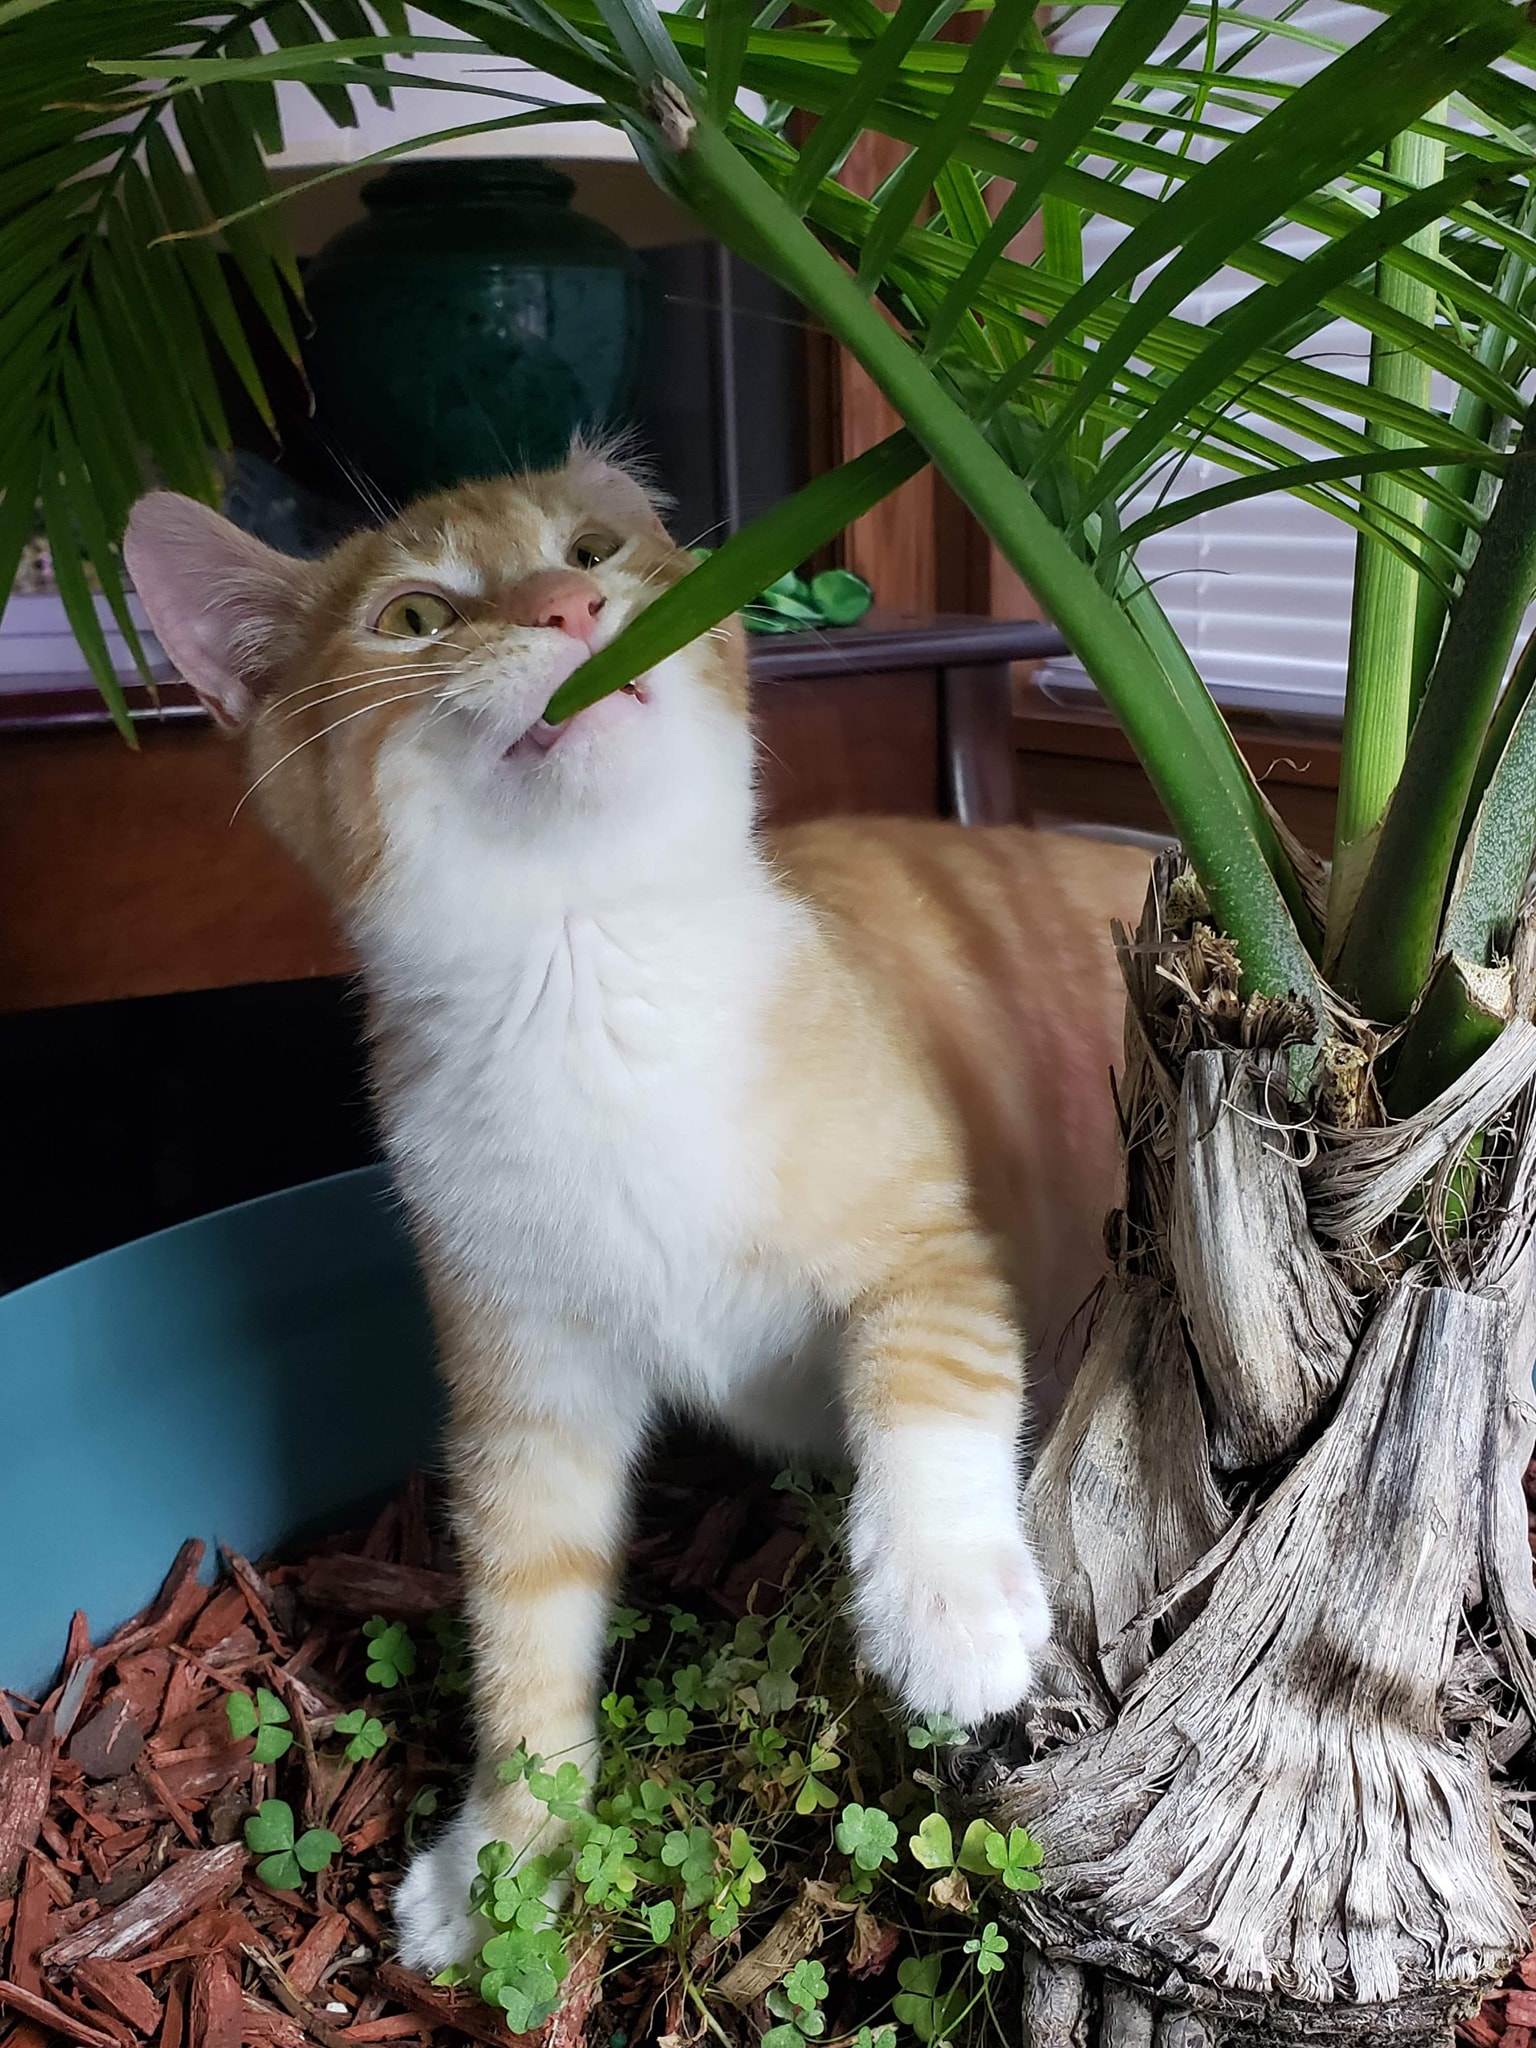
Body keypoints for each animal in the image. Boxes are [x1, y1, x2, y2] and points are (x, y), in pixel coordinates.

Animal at [123, 450, 1149, 1969]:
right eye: (415, 616)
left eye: (595, 546)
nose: (563, 606)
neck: (586, 965)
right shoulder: (525, 1386)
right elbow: (524, 1599)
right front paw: (508, 1837)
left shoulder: (933, 1240)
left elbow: (933, 1371)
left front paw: (947, 1596)